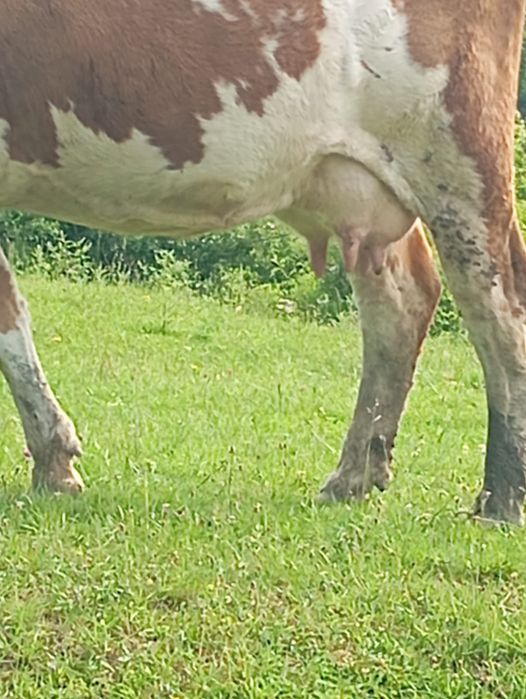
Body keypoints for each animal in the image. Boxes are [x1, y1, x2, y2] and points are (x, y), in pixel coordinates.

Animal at [0, 0, 523, 524]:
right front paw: (54, 463)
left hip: (458, 154)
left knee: (499, 304)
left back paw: (502, 498)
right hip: (357, 183)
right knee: (402, 301)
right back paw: (352, 477)